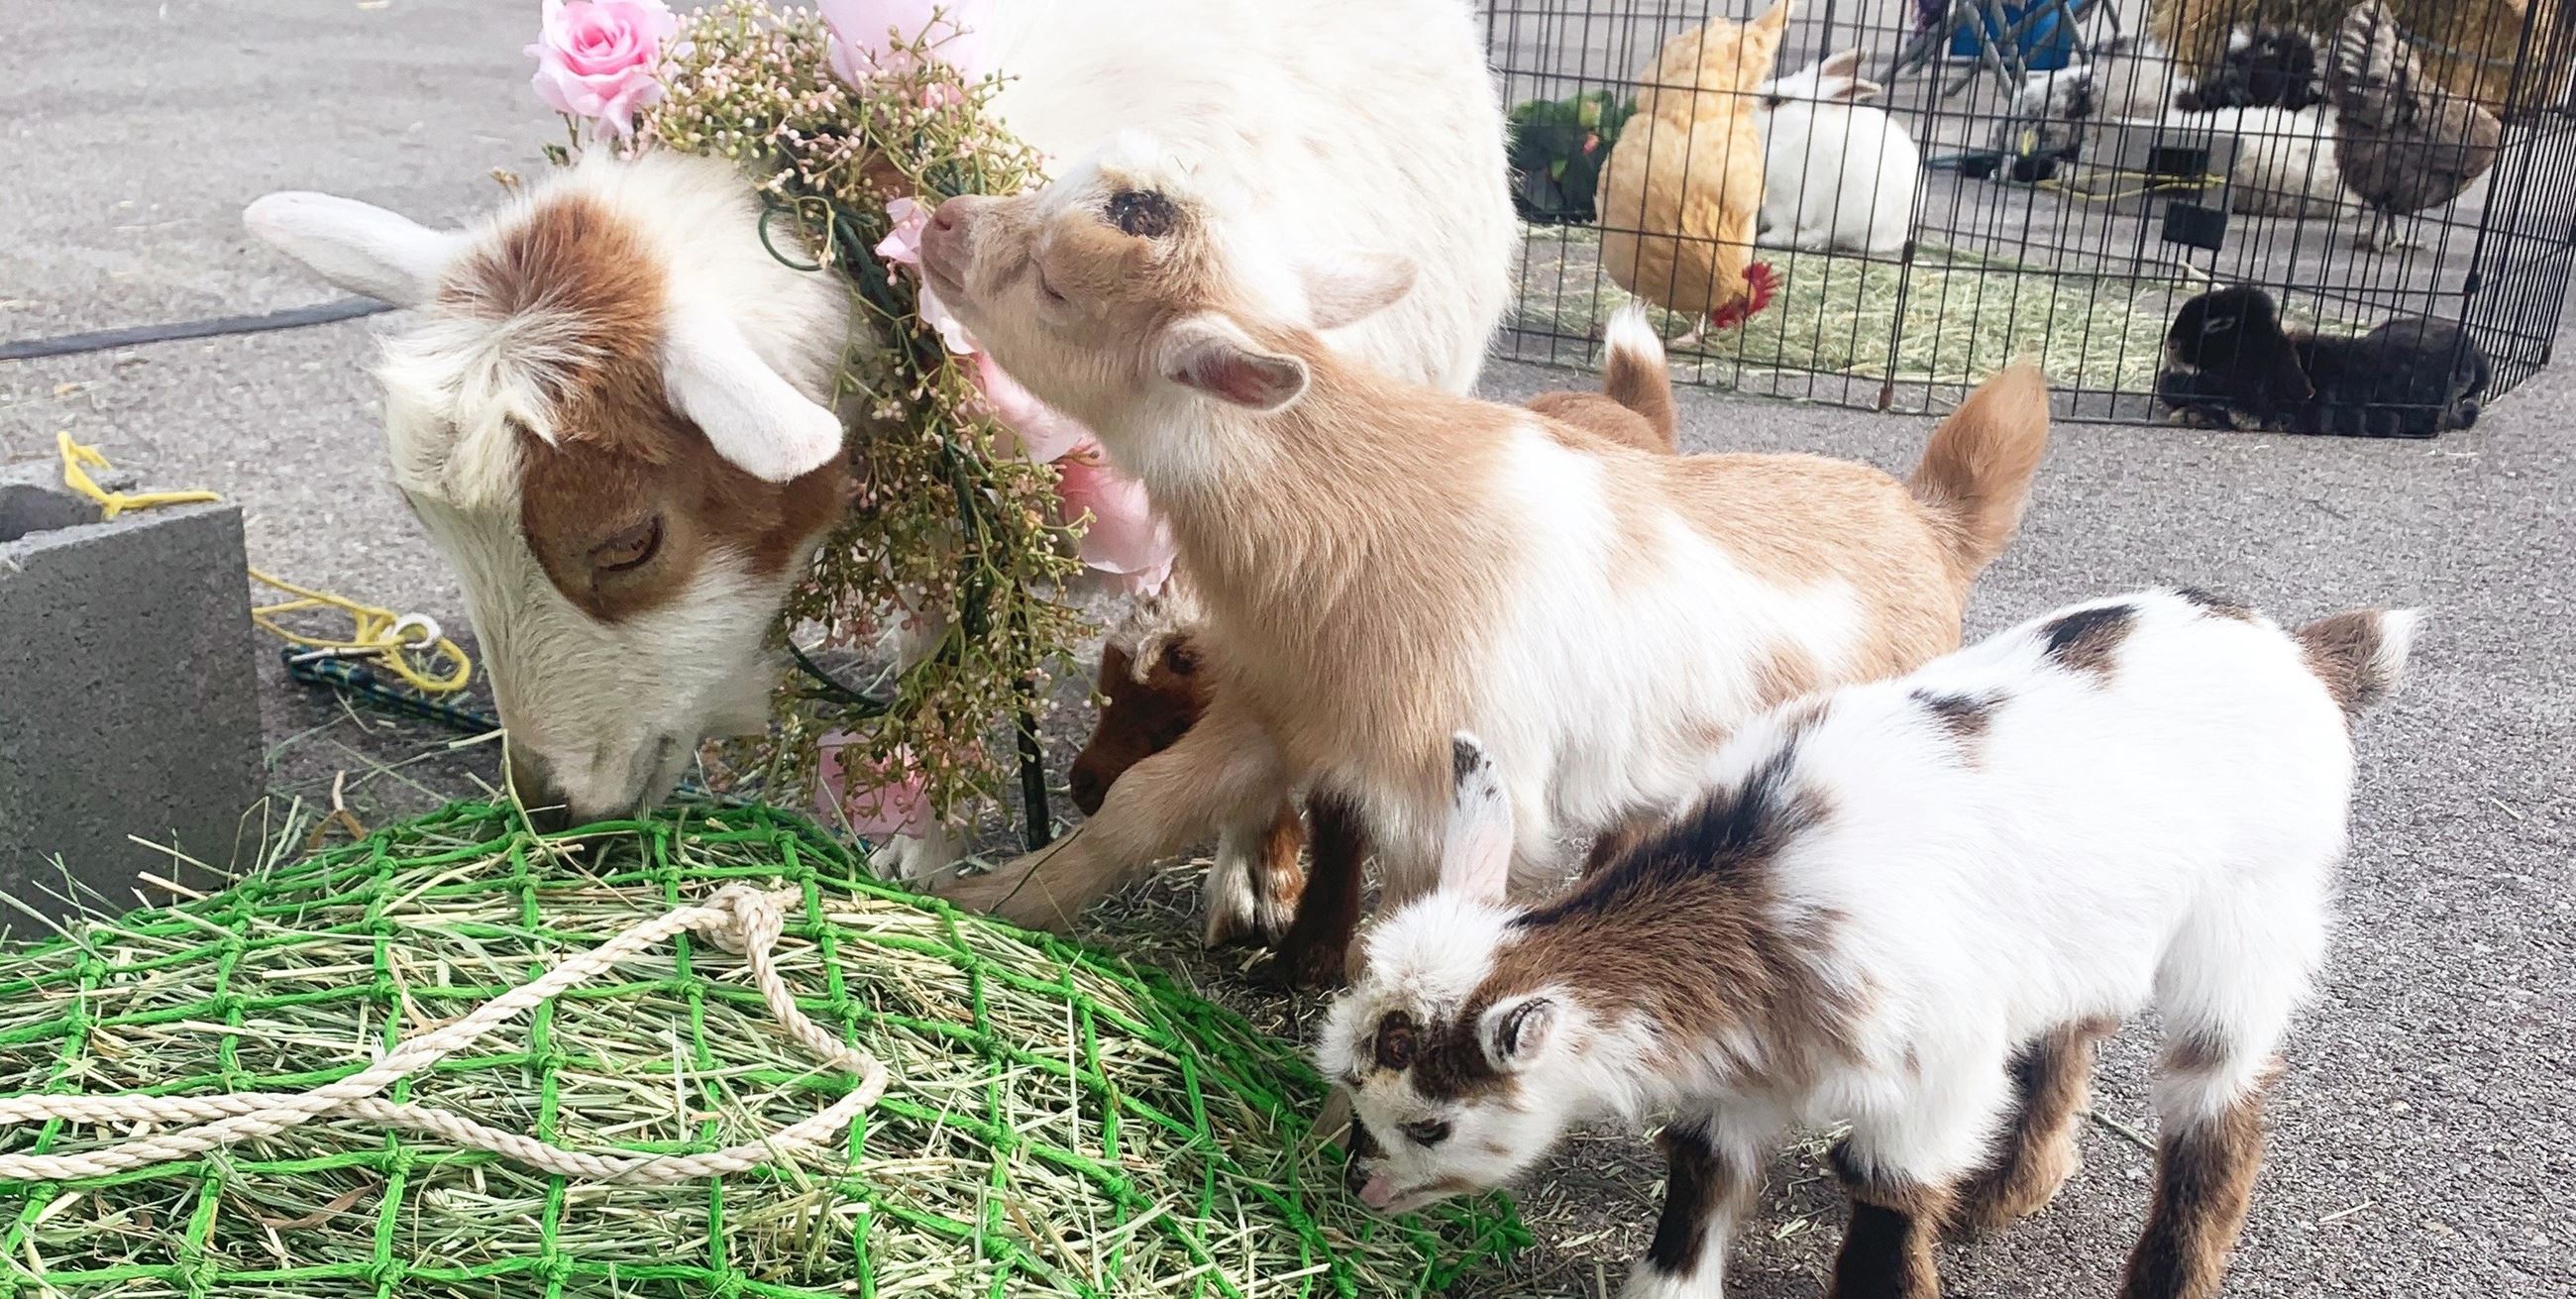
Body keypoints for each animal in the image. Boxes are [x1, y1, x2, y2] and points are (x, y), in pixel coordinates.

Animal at [240, 0, 1515, 871]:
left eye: (630, 543)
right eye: (431, 529)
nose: (551, 809)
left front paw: (1254, 863)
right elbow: (945, 664)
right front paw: (920, 842)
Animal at [1065, 308, 1678, 973]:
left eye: (1173, 721)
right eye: (1105, 685)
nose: (1081, 786)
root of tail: (1627, 408)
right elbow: (1331, 823)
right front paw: (1298, 948)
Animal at [1324, 588, 2415, 1299]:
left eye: (1430, 1124)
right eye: (1345, 1076)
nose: (1356, 1184)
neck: (1763, 893)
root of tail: (2304, 653)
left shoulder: (1930, 1081)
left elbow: (1884, 1202)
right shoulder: (1732, 1083)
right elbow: (1695, 1193)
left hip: (2253, 918)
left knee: (2217, 1109)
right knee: (2068, 1039)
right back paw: (2002, 1195)